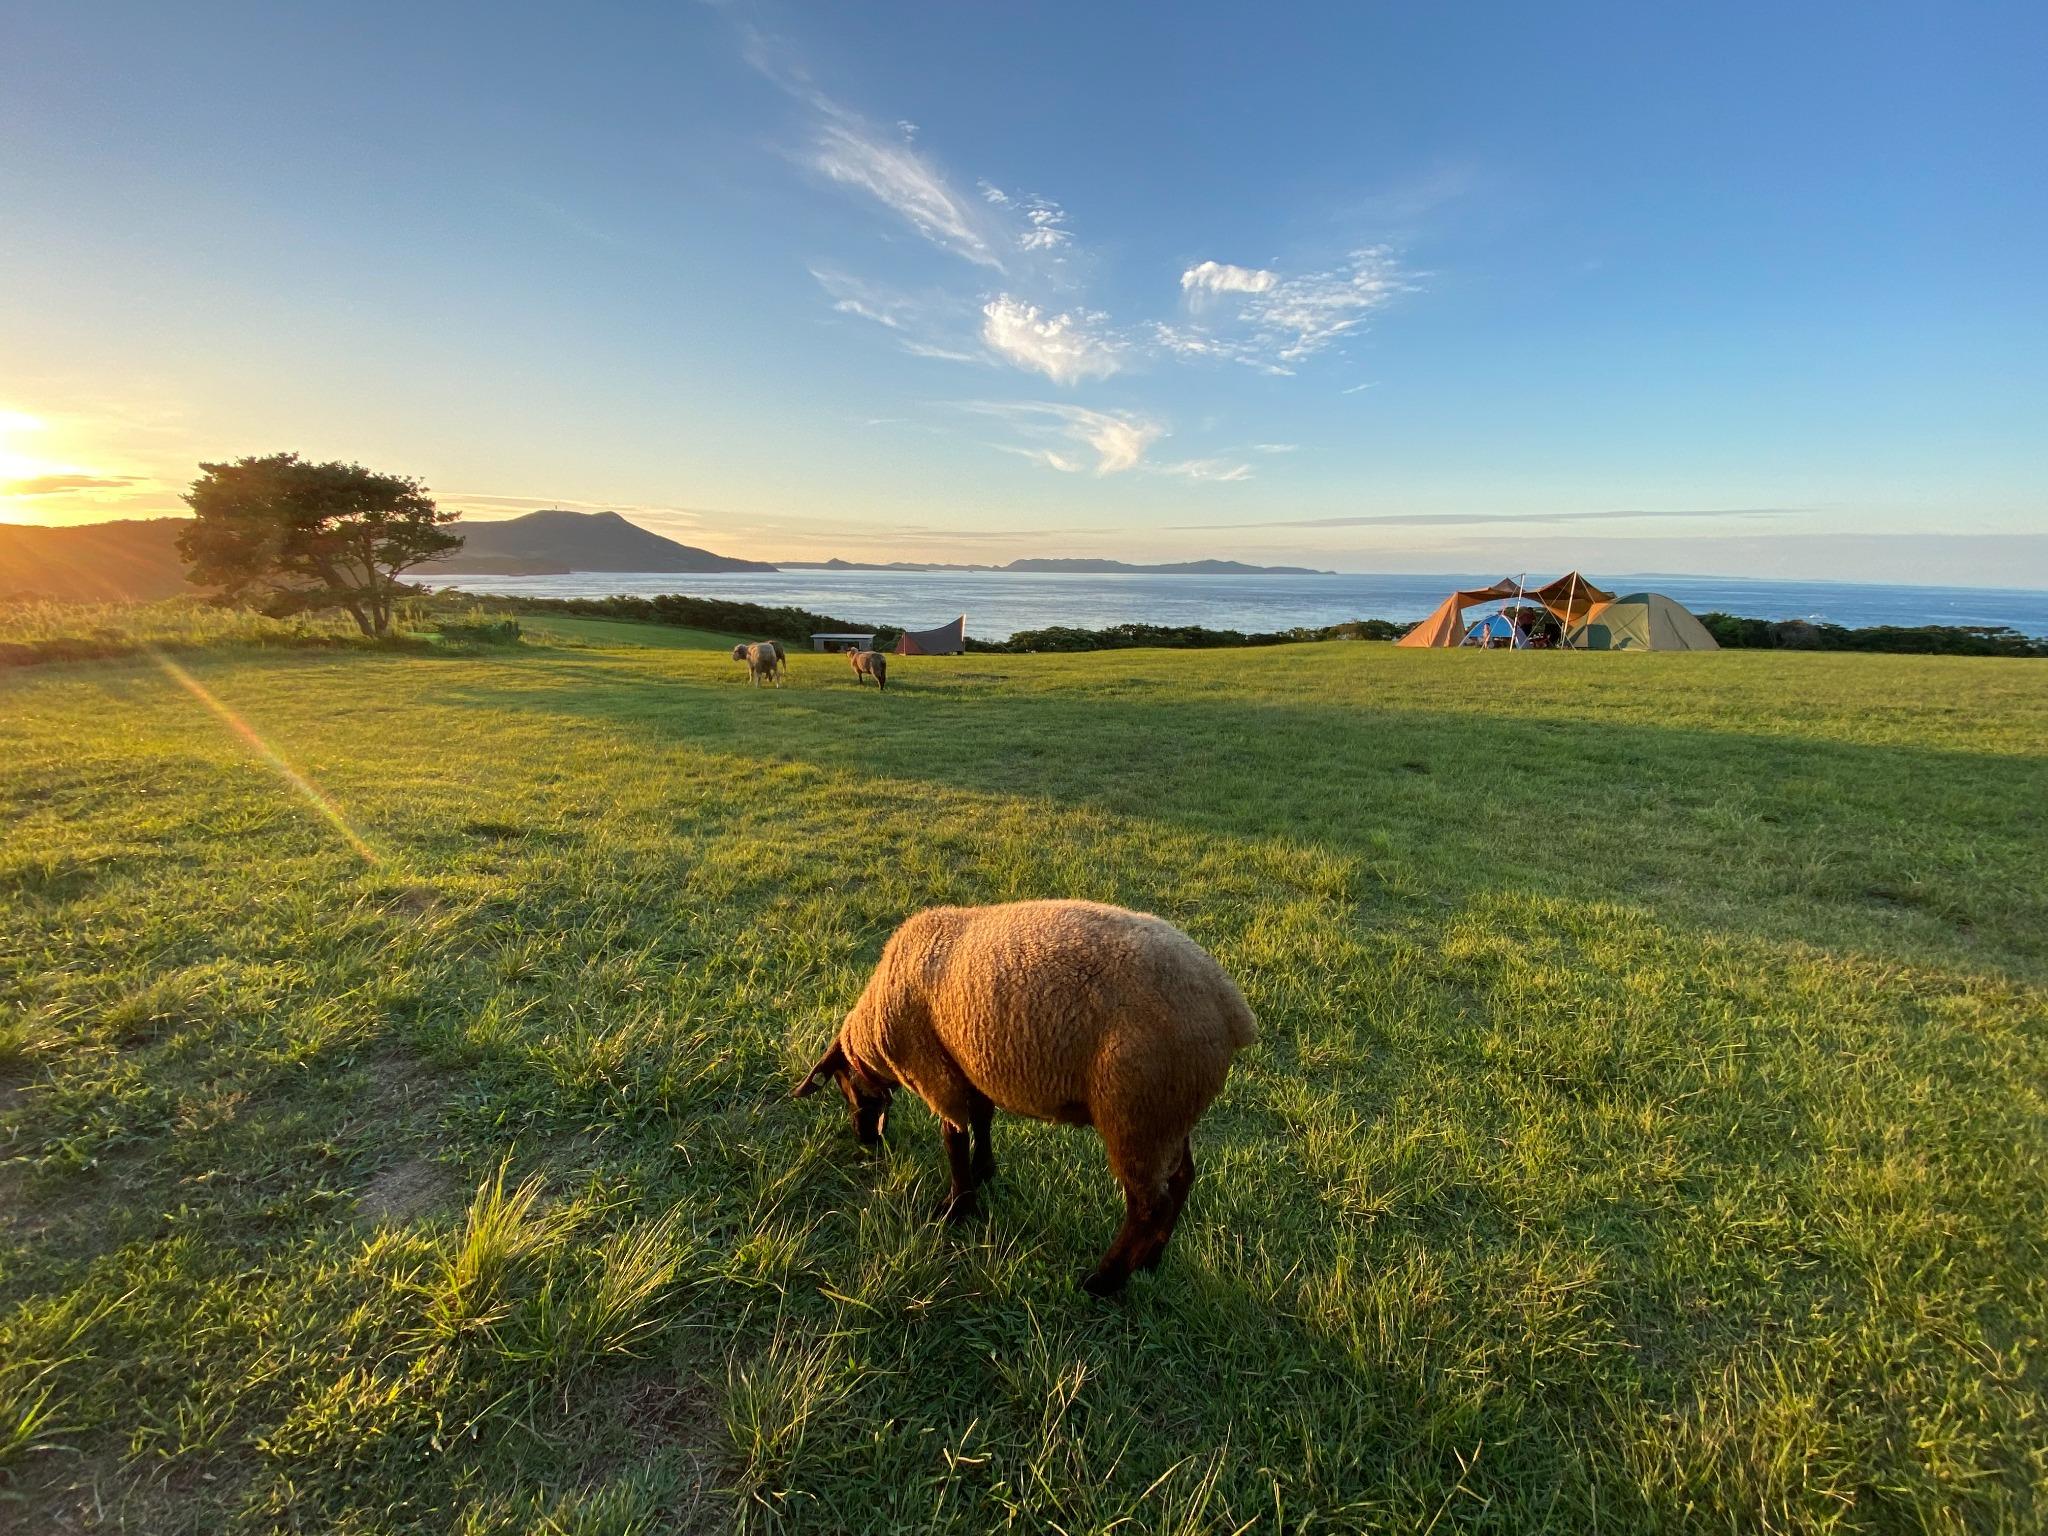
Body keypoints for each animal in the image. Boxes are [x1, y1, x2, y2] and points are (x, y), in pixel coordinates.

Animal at [794, 901, 1245, 1302]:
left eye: (844, 1087)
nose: (865, 1138)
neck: (877, 1038)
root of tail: (1232, 1011)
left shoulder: (934, 1071)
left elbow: (952, 1137)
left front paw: (956, 1207)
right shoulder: (968, 1063)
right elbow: (982, 1118)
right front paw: (983, 1172)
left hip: (1137, 1113)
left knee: (1148, 1207)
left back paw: (1103, 1281)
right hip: (1170, 1114)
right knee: (1181, 1180)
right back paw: (1150, 1260)